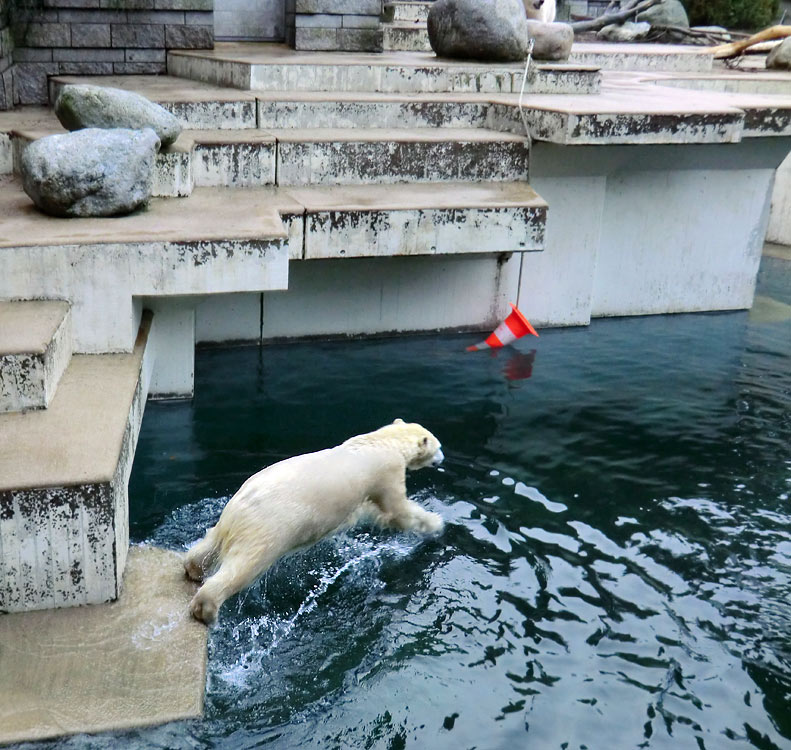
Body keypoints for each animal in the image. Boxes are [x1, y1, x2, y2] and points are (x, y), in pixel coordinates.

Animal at [185, 420, 446, 624]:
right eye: (439, 446)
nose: (443, 458)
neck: (381, 442)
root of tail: (242, 504)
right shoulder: (387, 472)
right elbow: (397, 511)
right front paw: (436, 523)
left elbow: (368, 511)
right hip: (267, 527)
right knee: (244, 566)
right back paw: (206, 609)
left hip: (229, 519)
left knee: (209, 544)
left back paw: (194, 568)